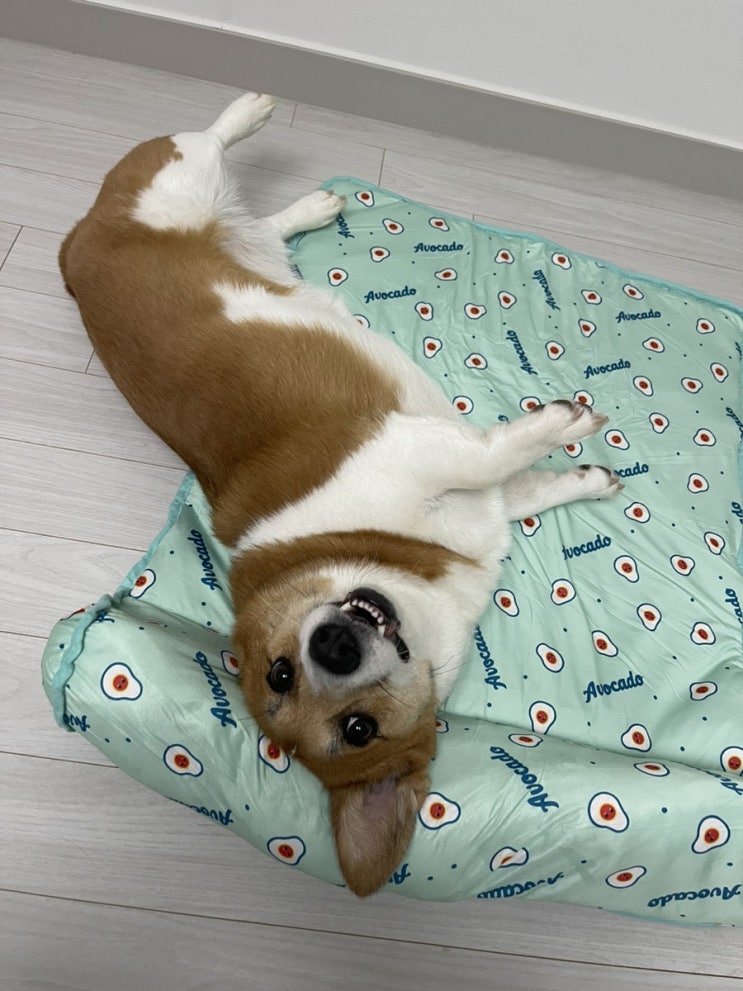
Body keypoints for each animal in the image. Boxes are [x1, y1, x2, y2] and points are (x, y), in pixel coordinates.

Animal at [59, 92, 622, 896]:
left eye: (284, 668)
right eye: (355, 729)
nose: (333, 645)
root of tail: (73, 250)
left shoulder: (434, 462)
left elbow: (509, 465)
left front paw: (576, 455)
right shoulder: (436, 463)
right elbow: (506, 463)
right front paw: (566, 440)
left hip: (177, 190)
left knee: (212, 148)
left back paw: (269, 136)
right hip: (189, 194)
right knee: (235, 188)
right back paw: (294, 177)